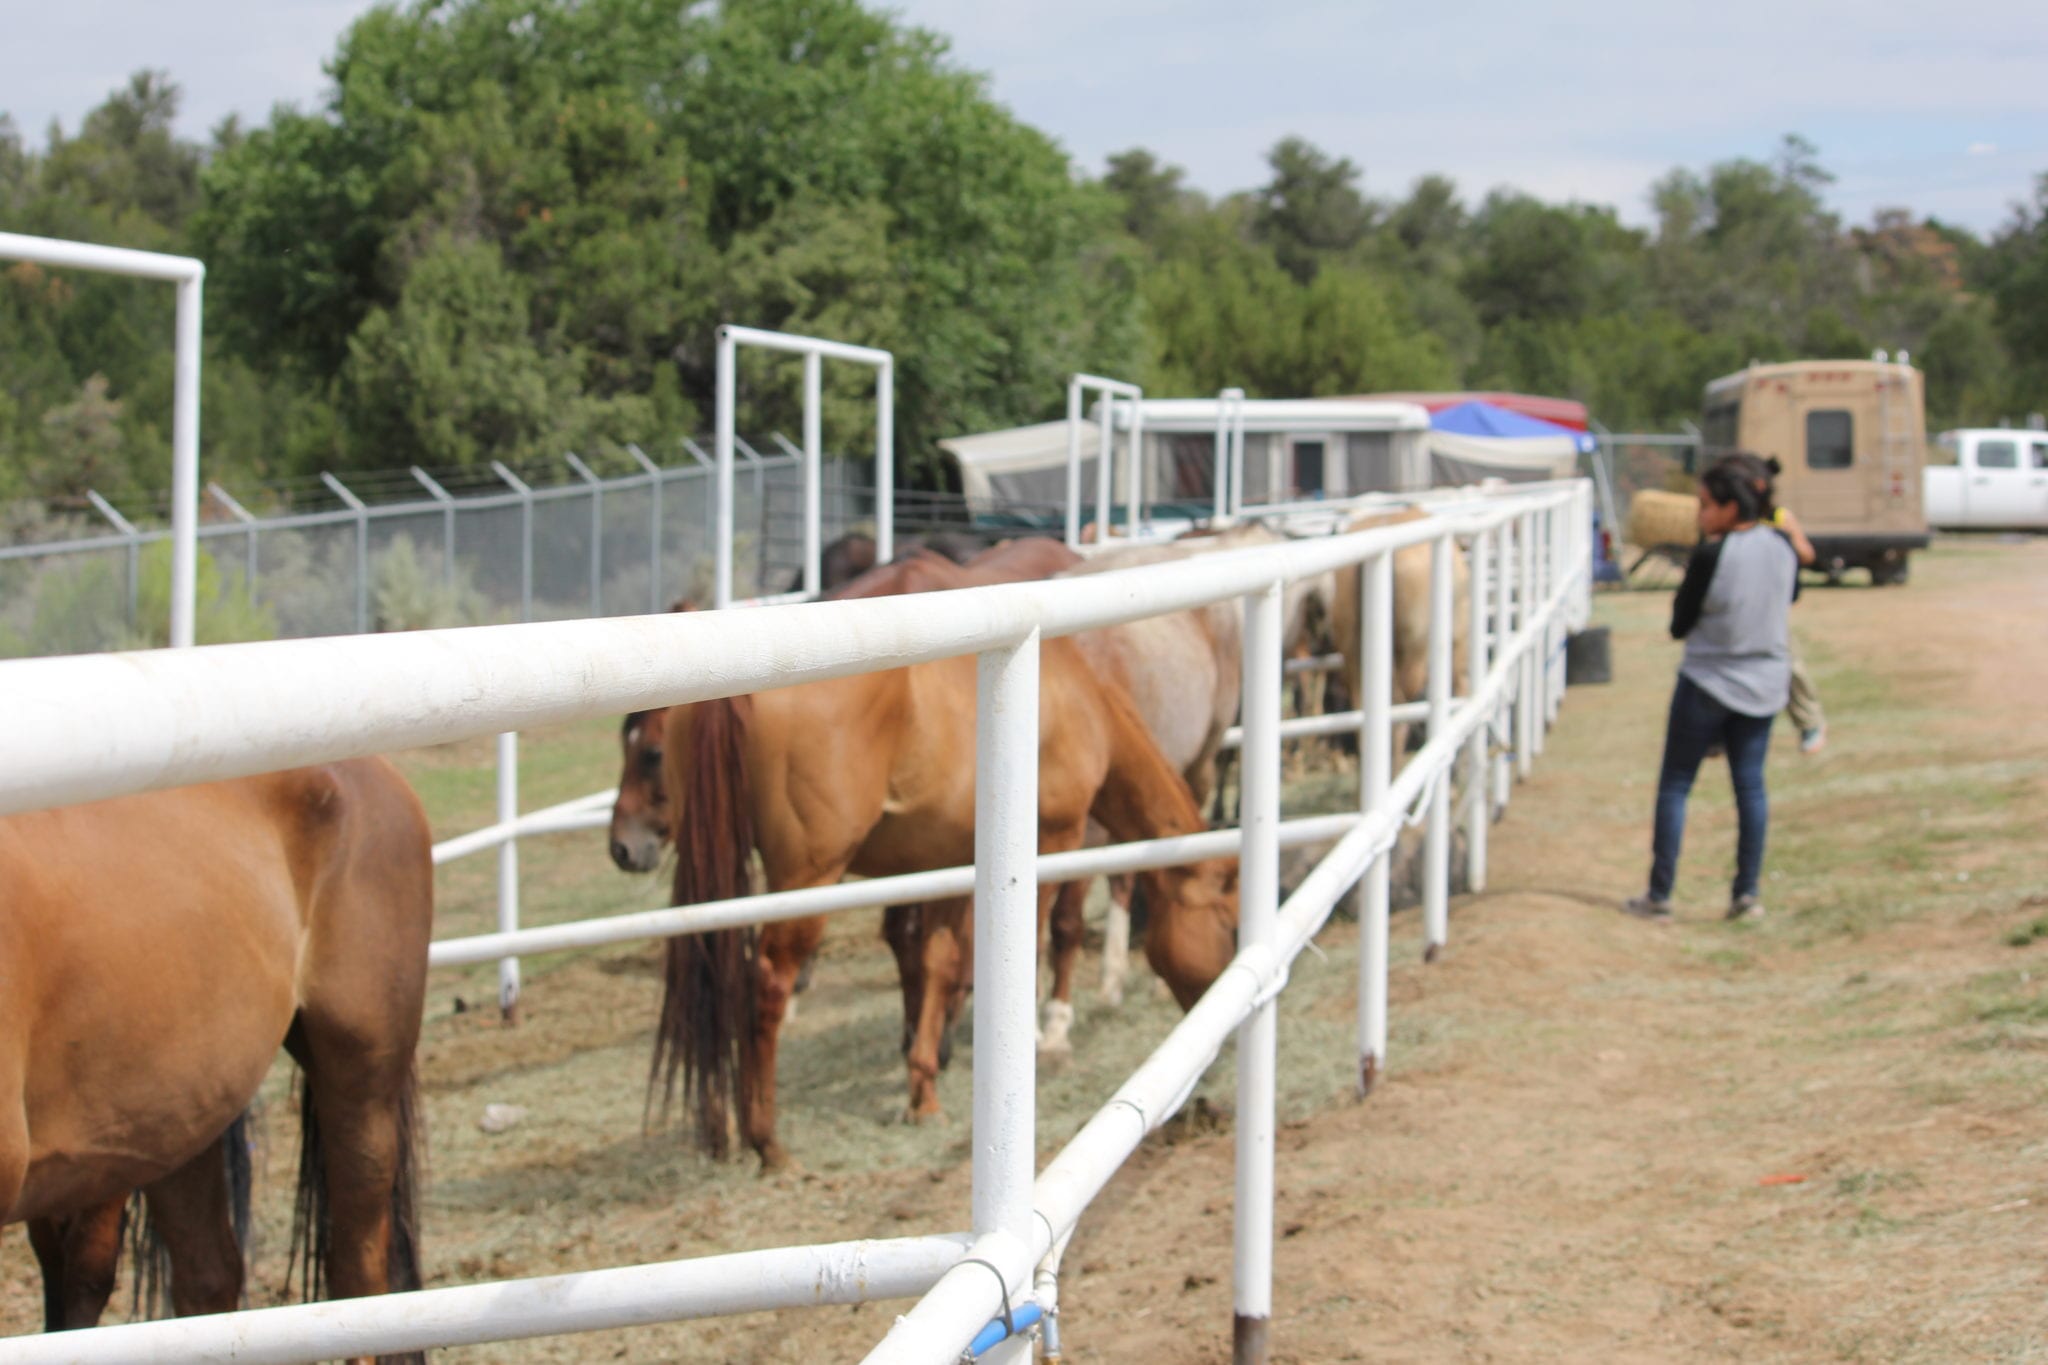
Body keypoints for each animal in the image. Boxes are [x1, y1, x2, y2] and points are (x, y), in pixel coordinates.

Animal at [655, 634, 1228, 1170]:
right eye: (1228, 922)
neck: (1080, 701)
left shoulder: (951, 863)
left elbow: (939, 962)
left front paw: (924, 1087)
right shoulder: (1054, 843)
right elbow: (1027, 946)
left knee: (709, 981)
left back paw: (719, 1130)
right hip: (808, 877)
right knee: (767, 984)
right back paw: (767, 1142)